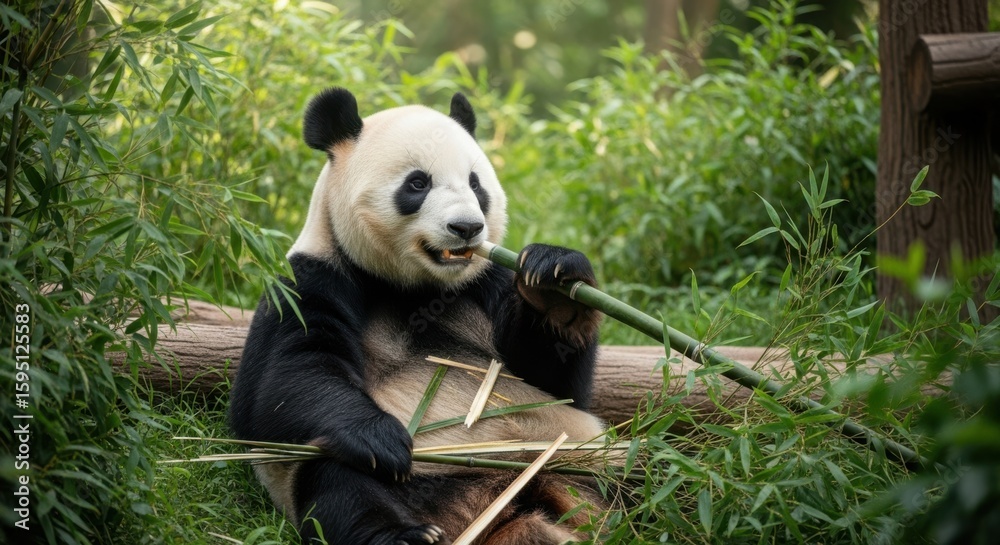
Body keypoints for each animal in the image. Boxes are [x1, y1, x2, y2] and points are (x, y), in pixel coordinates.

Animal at [228, 87, 607, 545]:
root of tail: (491, 503)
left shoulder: (487, 281)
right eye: (417, 183)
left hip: (576, 459)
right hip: (401, 479)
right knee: (340, 483)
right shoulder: (313, 278)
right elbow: (280, 384)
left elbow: (555, 381)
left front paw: (553, 283)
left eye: (476, 183)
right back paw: (404, 534)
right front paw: (384, 439)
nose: (467, 228)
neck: (416, 287)